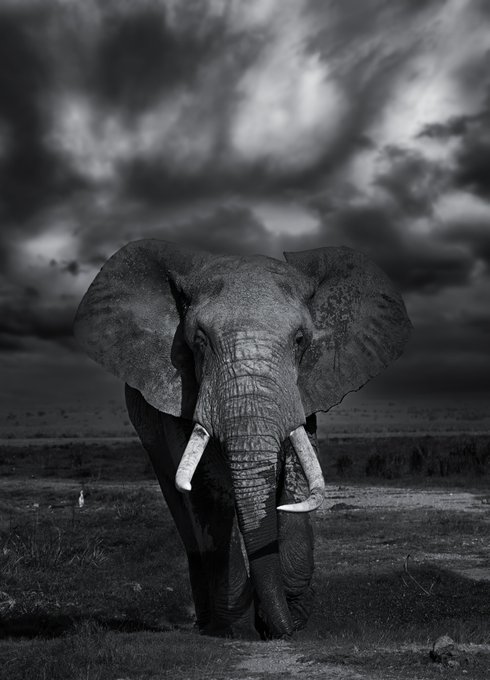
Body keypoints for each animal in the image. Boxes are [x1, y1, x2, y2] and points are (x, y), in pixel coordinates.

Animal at [73, 240, 411, 639]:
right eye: (199, 341)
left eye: (300, 340)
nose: (282, 630)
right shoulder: (179, 392)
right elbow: (207, 489)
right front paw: (240, 629)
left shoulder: (305, 389)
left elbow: (298, 472)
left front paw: (290, 617)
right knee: (182, 508)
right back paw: (208, 623)